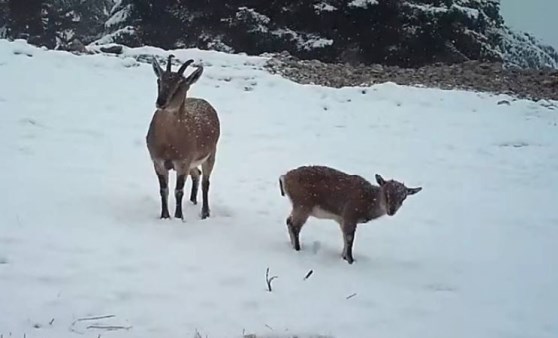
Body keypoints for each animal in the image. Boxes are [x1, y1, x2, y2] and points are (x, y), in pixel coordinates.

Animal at [148, 54, 222, 220]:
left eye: (180, 85)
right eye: (159, 81)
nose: (161, 102)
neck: (168, 144)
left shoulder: (183, 162)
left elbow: (178, 191)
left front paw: (178, 217)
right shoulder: (158, 162)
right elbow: (164, 190)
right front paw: (165, 216)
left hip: (211, 154)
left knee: (206, 182)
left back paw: (205, 212)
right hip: (193, 162)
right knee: (197, 174)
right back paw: (193, 200)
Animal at [280, 166, 424, 264]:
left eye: (403, 197)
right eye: (386, 193)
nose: (391, 210)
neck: (367, 204)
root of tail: (283, 178)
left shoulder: (341, 218)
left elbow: (345, 238)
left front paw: (344, 256)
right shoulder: (350, 214)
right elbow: (350, 239)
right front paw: (350, 260)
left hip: (300, 205)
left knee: (288, 221)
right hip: (303, 204)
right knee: (294, 225)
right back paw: (297, 248)